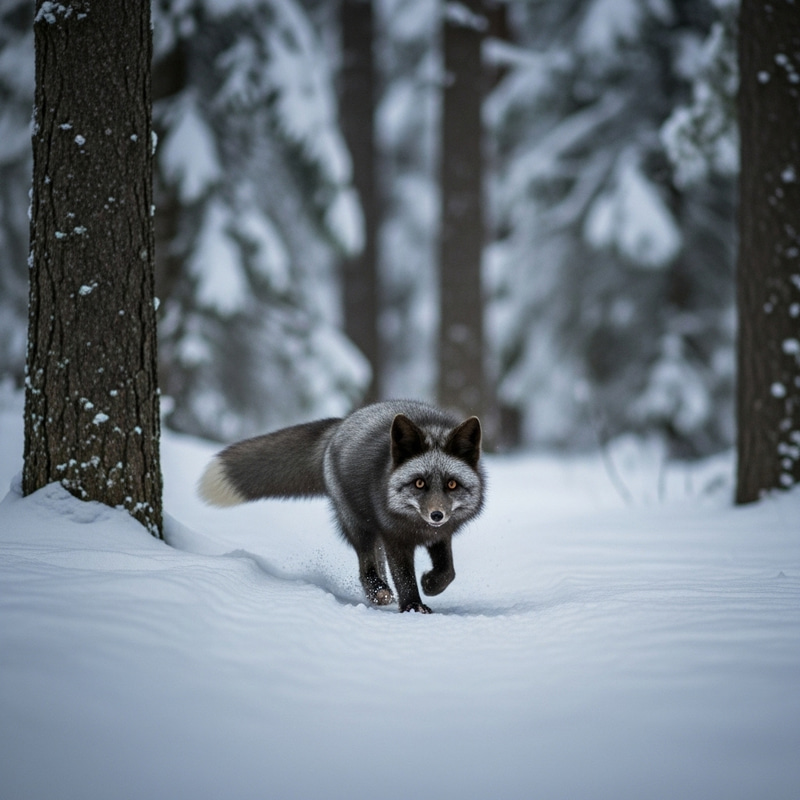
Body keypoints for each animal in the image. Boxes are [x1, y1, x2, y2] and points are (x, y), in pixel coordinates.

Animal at [198, 400, 485, 613]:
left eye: (451, 484)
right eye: (419, 483)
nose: (437, 515)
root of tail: (341, 423)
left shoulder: (441, 535)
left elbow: (448, 572)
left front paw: (430, 584)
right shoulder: (395, 537)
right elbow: (403, 576)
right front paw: (413, 606)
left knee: (377, 562)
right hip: (357, 524)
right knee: (366, 564)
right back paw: (378, 592)